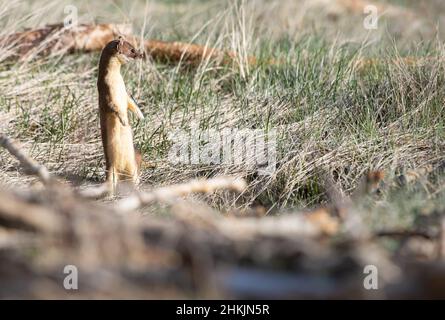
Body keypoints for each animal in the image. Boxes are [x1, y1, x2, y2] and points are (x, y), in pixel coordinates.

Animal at [97, 36, 144, 194]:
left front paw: (141, 116)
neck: (117, 84)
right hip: (111, 171)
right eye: (132, 50)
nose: (141, 54)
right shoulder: (107, 95)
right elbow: (116, 108)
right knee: (111, 182)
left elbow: (131, 103)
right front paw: (124, 121)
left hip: (133, 168)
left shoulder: (125, 94)